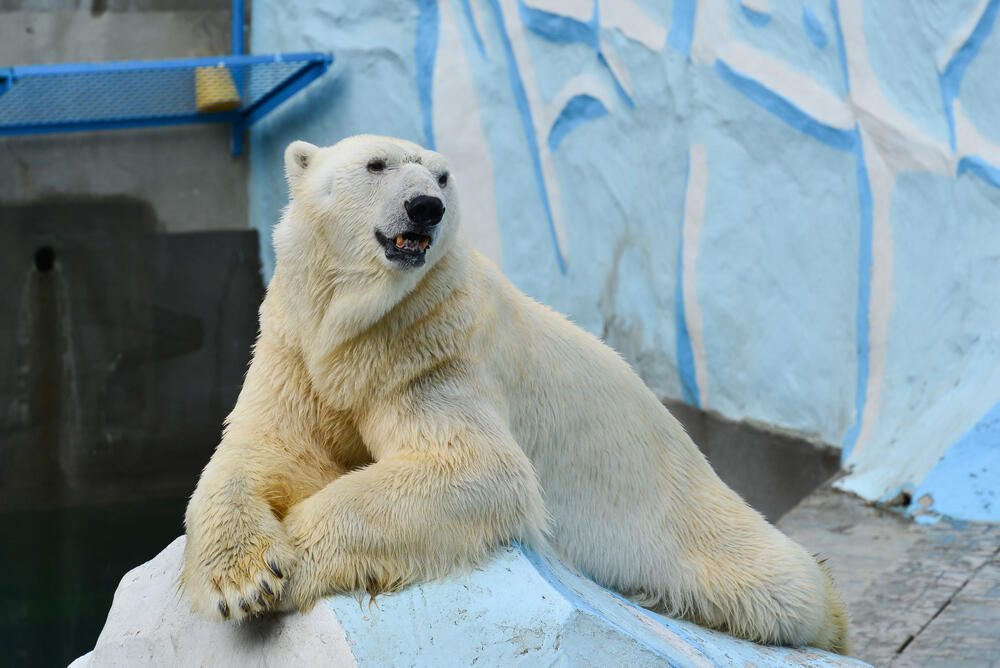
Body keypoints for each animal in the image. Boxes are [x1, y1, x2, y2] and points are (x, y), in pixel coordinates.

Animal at [181, 134, 849, 653]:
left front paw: (293, 556)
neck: (356, 329)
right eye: (376, 164)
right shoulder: (297, 346)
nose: (425, 207)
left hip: (695, 524)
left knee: (781, 585)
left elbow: (476, 468)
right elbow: (269, 450)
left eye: (443, 175)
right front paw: (243, 579)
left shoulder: (427, 351)